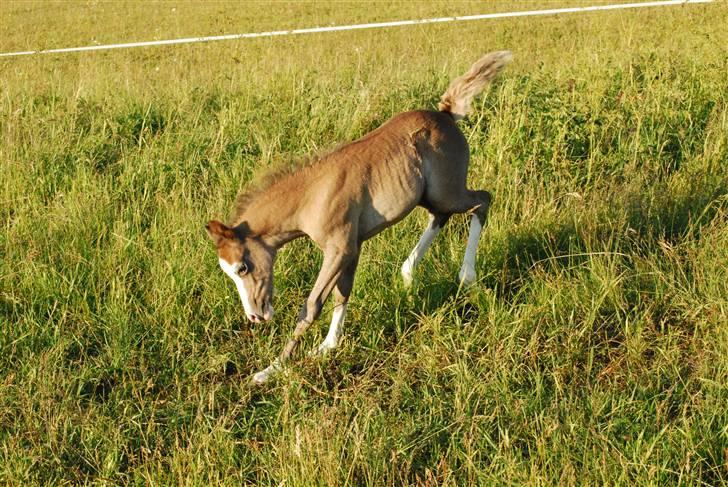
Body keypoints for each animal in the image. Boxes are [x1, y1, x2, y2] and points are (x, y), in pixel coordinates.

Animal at [206, 50, 512, 386]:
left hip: (449, 190)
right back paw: (408, 275)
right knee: (441, 216)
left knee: (482, 201)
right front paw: (327, 346)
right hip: (431, 195)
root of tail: (445, 113)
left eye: (242, 268)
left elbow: (311, 305)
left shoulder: (339, 248)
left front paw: (271, 369)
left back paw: (466, 277)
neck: (313, 194)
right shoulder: (353, 247)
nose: (255, 316)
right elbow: (342, 294)